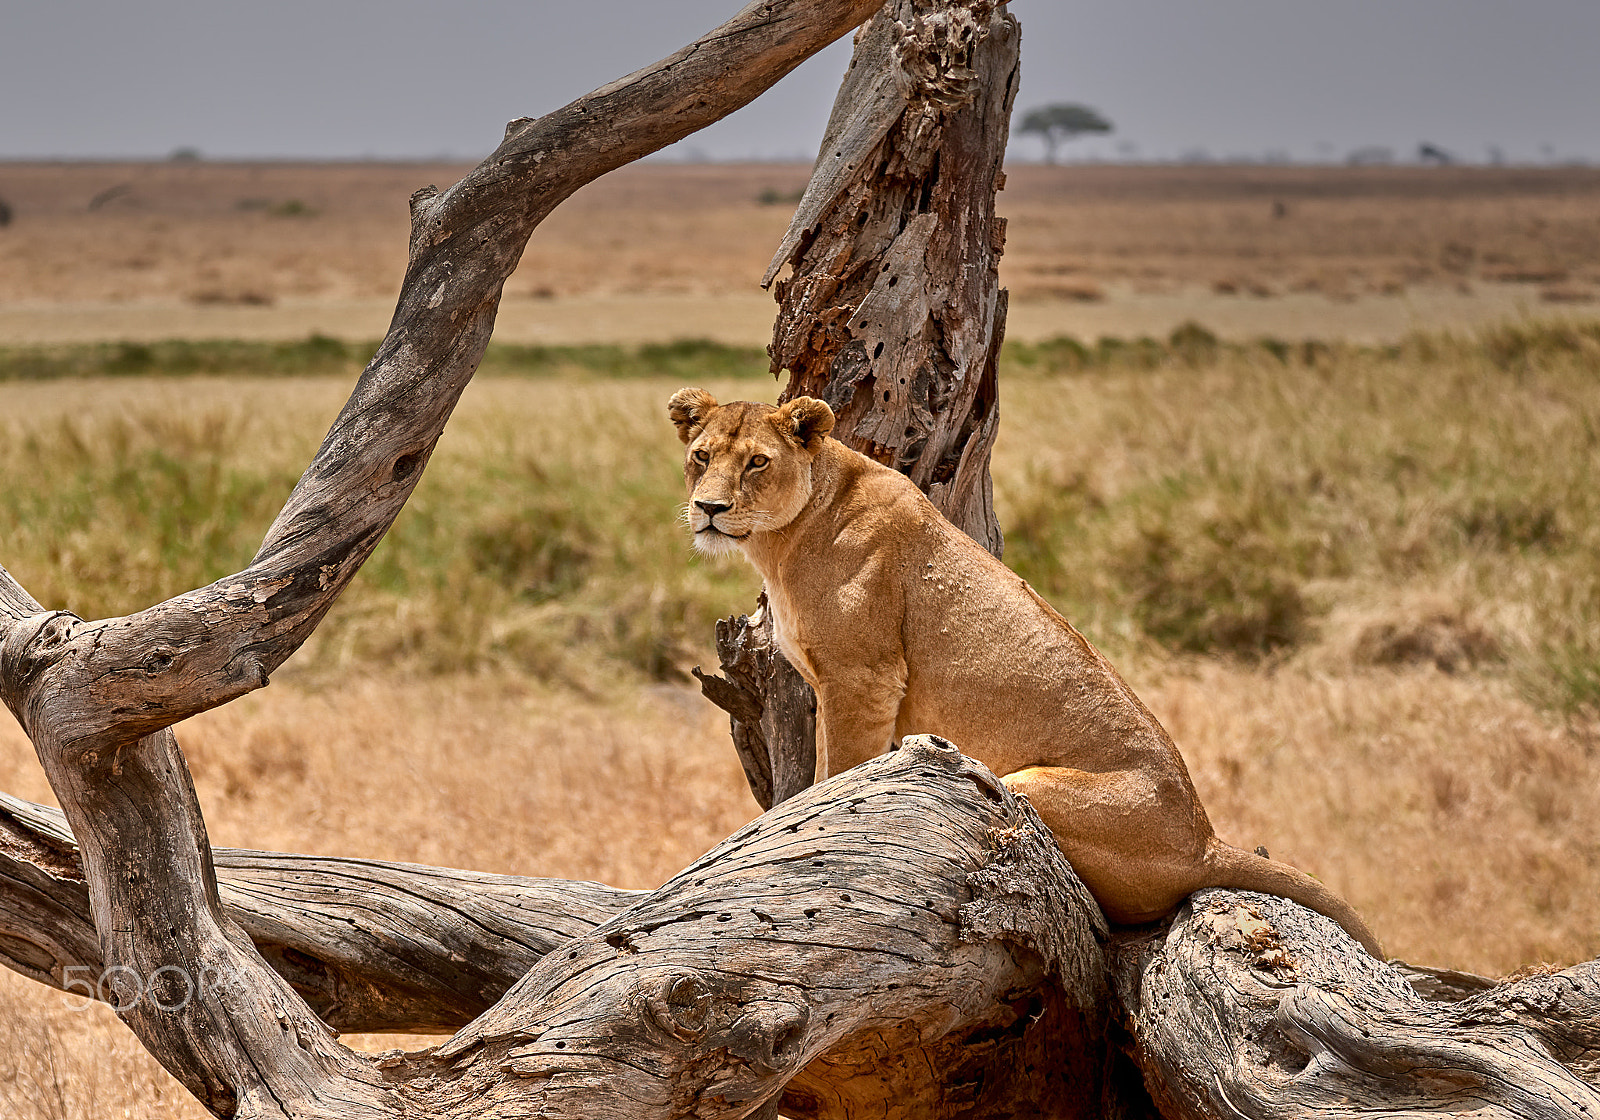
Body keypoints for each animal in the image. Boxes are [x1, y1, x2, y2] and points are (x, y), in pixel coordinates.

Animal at [668, 388, 1382, 957]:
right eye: (702, 455)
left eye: (757, 462)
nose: (709, 509)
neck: (782, 541)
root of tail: (1203, 840)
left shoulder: (863, 679)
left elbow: (841, 774)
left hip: (1023, 786)